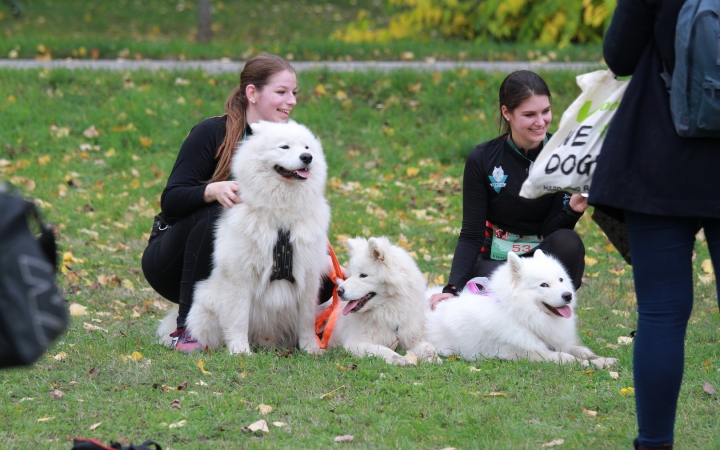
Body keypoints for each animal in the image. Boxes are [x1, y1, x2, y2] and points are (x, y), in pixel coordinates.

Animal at [158, 120, 330, 356]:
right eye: (284, 147)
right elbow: (239, 318)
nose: (307, 158)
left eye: (307, 148)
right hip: (206, 302)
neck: (281, 216)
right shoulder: (240, 275)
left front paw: (310, 349)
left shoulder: (308, 276)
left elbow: (306, 321)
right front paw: (240, 351)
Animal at [324, 236, 442, 366]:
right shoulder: (356, 343)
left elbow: (428, 347)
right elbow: (384, 350)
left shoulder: (414, 337)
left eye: (363, 275)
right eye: (350, 275)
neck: (388, 312)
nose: (339, 291)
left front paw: (432, 358)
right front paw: (401, 359)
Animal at [424, 250, 616, 370]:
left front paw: (602, 359)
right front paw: (594, 364)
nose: (568, 296)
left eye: (561, 280)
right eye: (544, 285)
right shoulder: (523, 352)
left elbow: (582, 351)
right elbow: (568, 358)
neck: (515, 313)